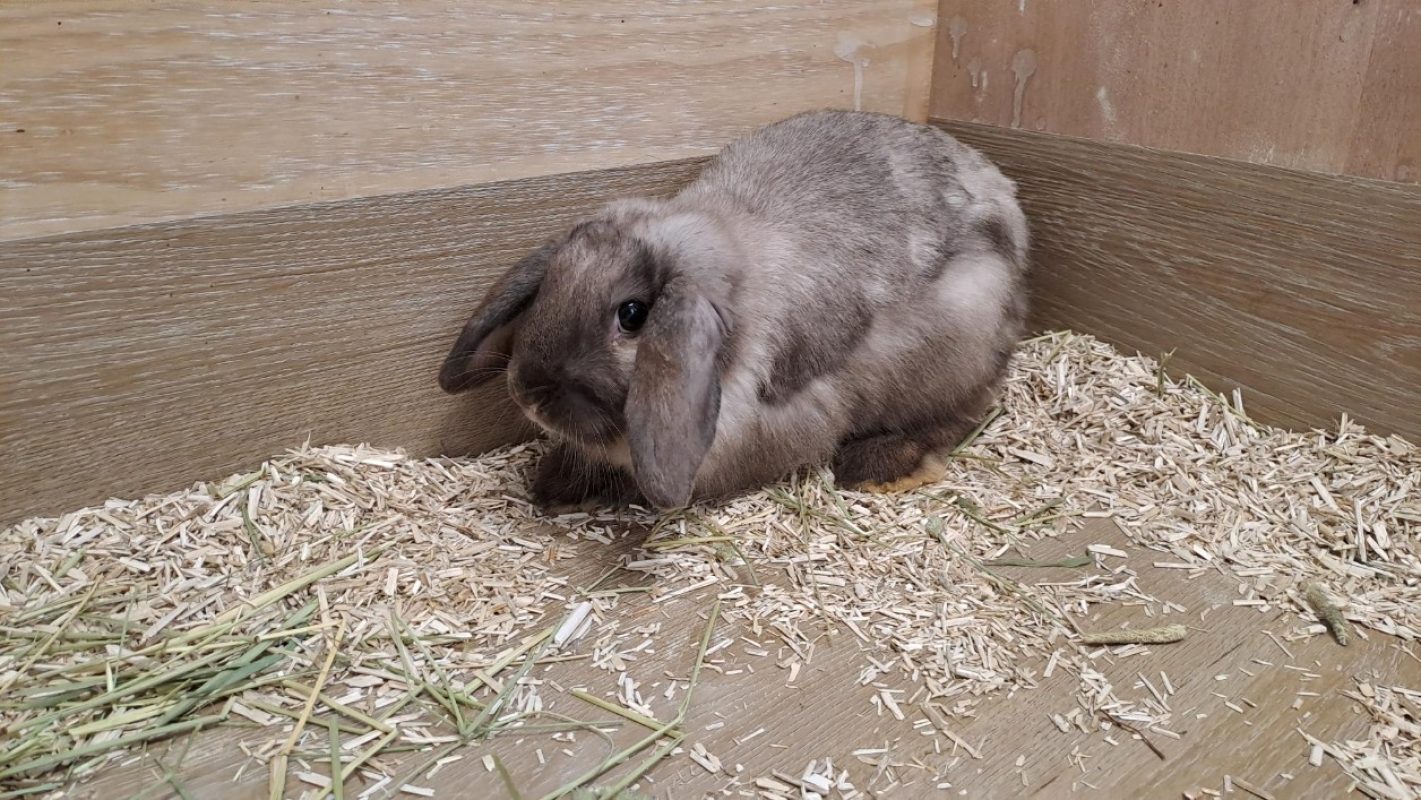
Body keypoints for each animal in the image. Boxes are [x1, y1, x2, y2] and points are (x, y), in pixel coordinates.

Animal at [438, 109, 1029, 512]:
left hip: (955, 349)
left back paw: (879, 468)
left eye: (631, 315)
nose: (528, 394)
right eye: (552, 283)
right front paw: (555, 483)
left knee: (961, 412)